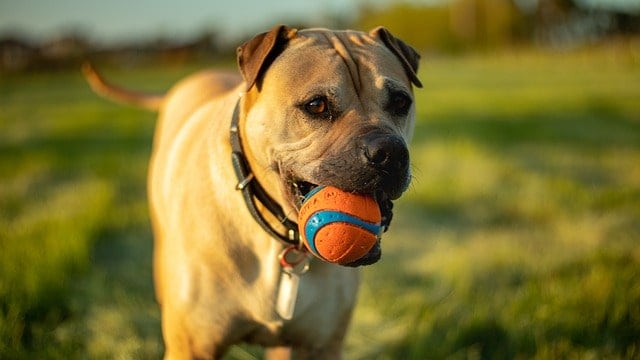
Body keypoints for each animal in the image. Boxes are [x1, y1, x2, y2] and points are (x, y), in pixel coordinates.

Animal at [85, 26, 422, 360]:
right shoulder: (190, 348)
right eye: (317, 106)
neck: (276, 237)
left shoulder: (322, 346)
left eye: (400, 102)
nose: (390, 152)